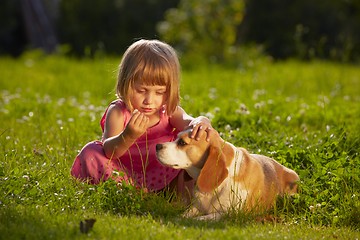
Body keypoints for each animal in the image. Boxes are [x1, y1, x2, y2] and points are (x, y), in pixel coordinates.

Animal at [156, 129, 300, 219]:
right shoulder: (196, 207)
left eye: (182, 143)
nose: (157, 146)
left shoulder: (231, 213)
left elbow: (203, 218)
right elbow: (185, 215)